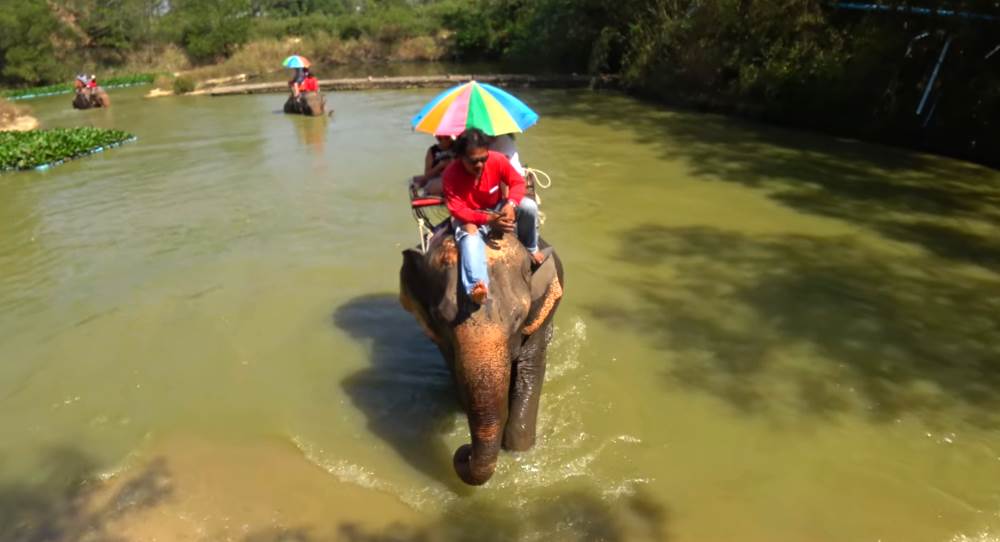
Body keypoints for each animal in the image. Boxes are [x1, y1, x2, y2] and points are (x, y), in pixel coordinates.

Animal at [400, 232, 572, 486]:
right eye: (440, 317)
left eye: (518, 316)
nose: (464, 452)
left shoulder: (537, 317)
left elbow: (529, 370)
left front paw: (518, 451)